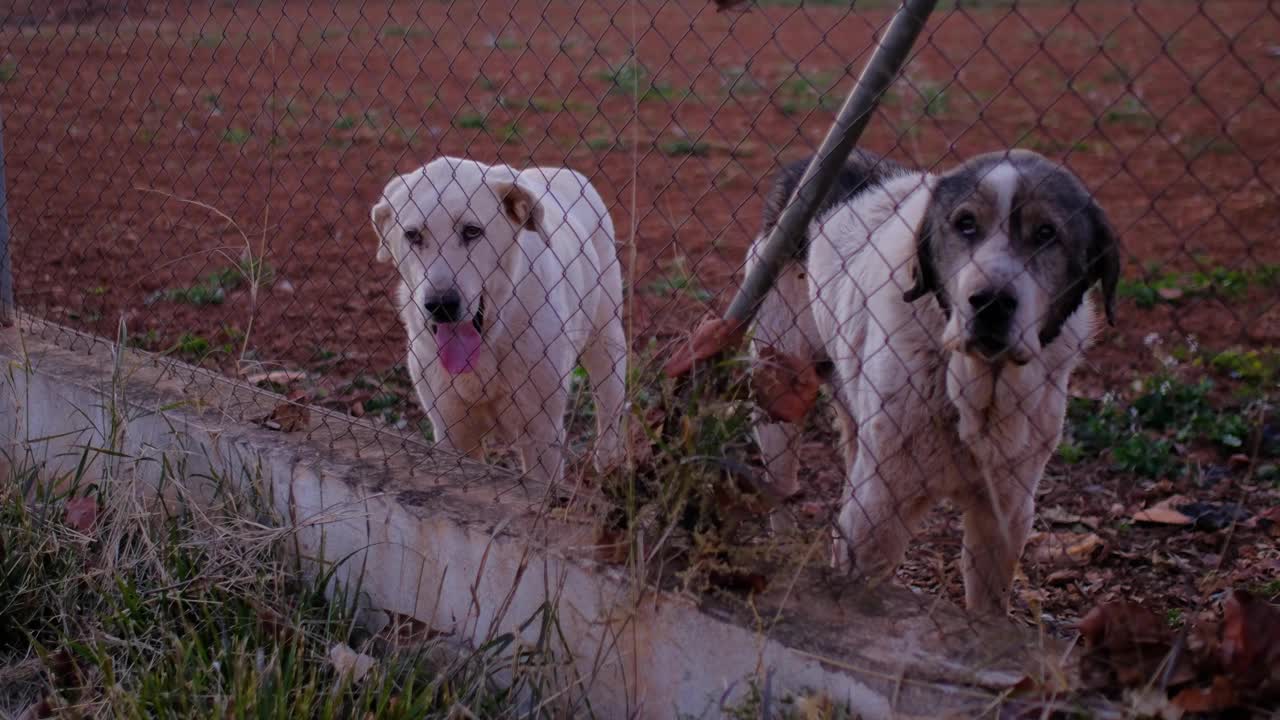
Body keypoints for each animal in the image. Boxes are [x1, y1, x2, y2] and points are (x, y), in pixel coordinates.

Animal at [747, 149, 1121, 609]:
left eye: (1046, 233)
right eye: (965, 224)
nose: (990, 302)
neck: (975, 390)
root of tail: (801, 168)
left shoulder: (1006, 514)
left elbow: (988, 608)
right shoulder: (880, 507)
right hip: (779, 401)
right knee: (780, 493)